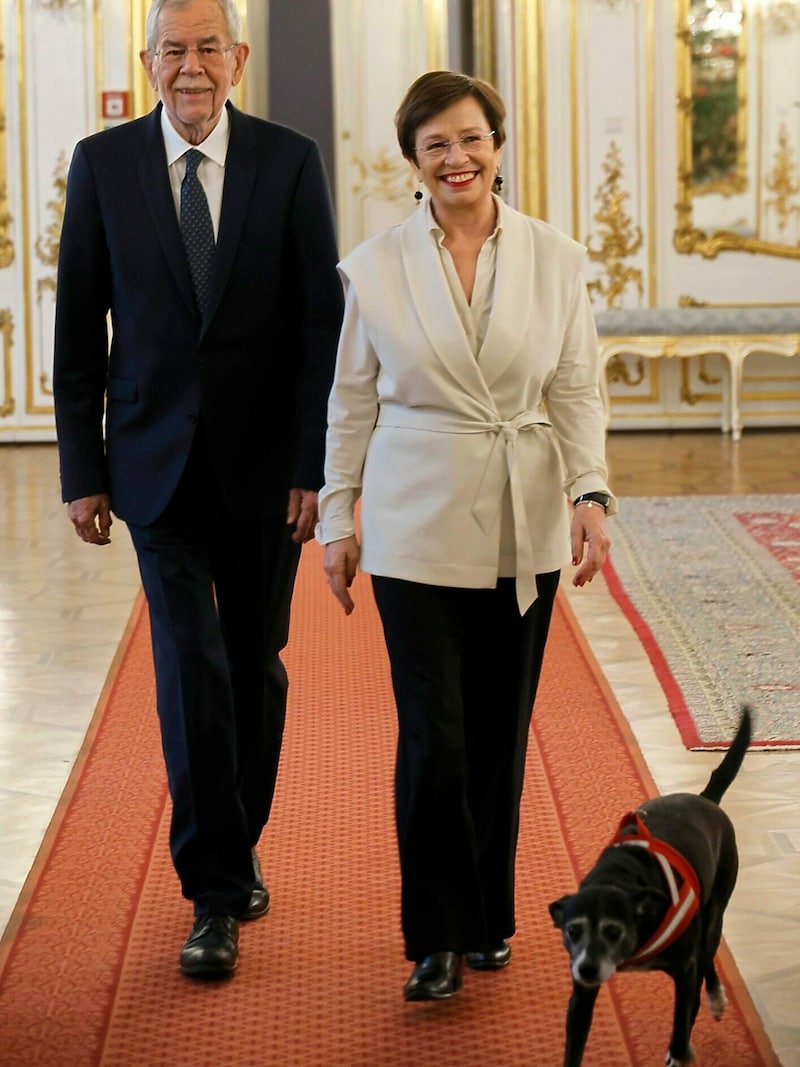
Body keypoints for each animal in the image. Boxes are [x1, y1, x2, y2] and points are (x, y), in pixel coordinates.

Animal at [550, 704, 755, 1062]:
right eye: (573, 931)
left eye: (613, 930)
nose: (587, 969)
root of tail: (707, 800)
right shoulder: (582, 995)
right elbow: (574, 1046)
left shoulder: (684, 970)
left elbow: (683, 1018)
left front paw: (679, 1052)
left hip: (714, 913)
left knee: (707, 959)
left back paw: (714, 998)